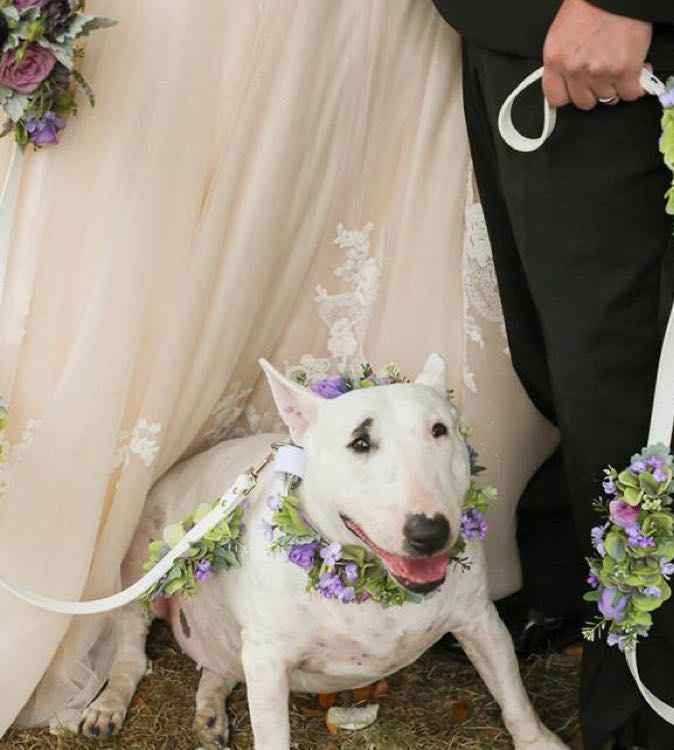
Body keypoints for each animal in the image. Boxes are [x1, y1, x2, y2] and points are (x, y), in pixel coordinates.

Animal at [81, 356, 568, 750]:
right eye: (360, 442)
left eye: (439, 430)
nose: (430, 533)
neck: (369, 578)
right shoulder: (268, 660)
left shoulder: (480, 619)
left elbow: (512, 692)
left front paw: (539, 741)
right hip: (142, 573)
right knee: (131, 655)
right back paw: (106, 708)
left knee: (217, 667)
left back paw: (210, 716)